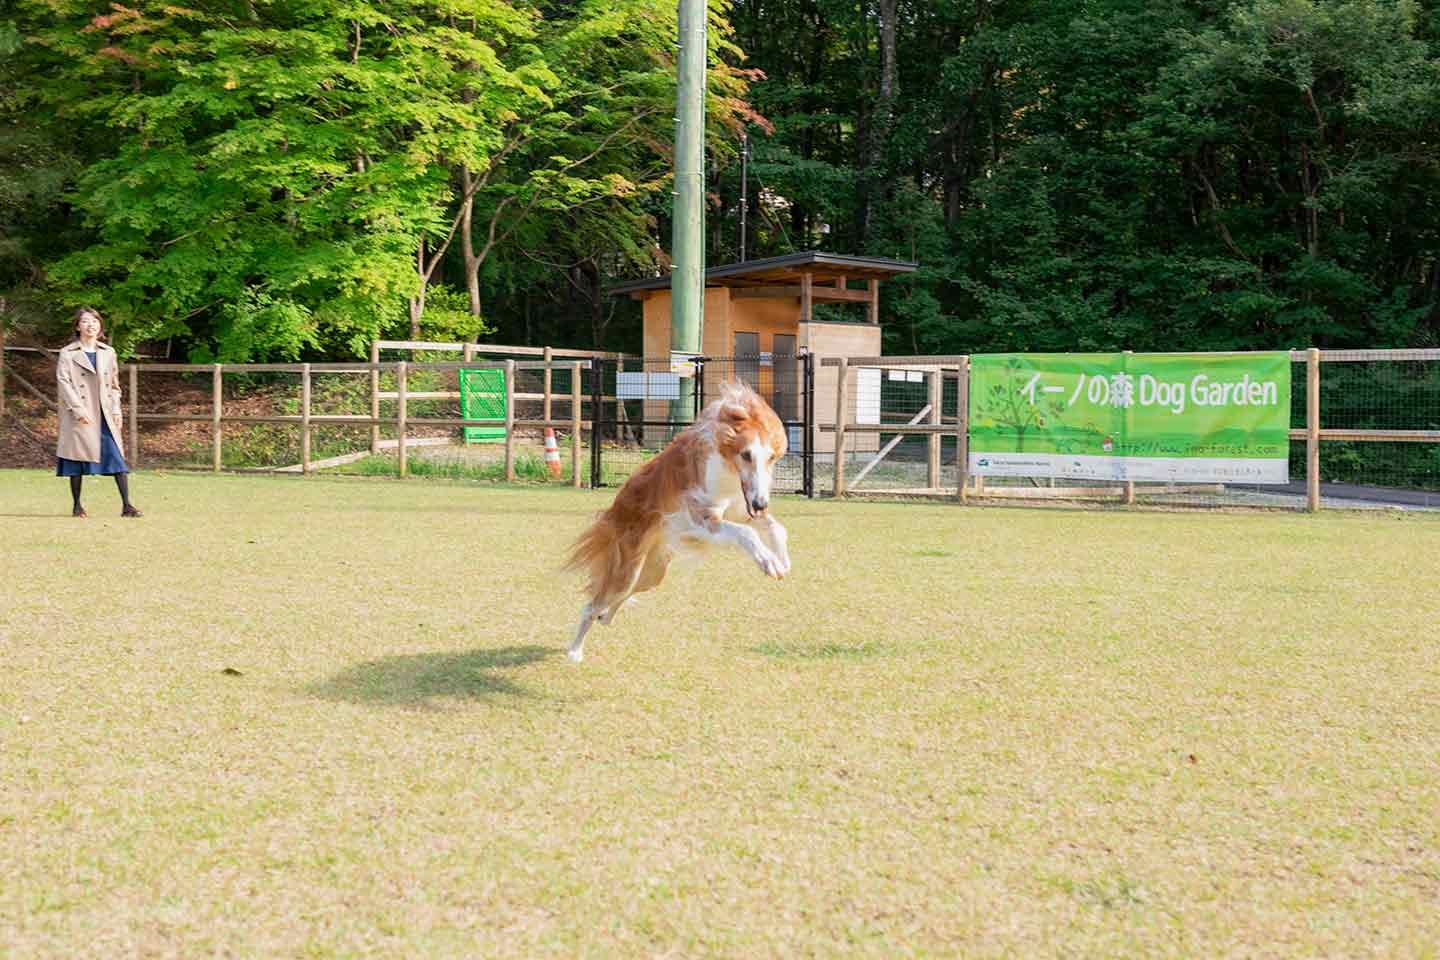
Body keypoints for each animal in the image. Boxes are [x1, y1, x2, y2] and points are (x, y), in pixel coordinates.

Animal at [564, 382, 794, 662]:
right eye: (746, 454)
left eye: (770, 457)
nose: (761, 504)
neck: (727, 467)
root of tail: (616, 507)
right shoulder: (702, 518)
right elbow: (746, 533)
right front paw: (768, 561)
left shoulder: (741, 508)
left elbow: (776, 528)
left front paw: (781, 560)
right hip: (627, 570)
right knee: (591, 605)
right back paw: (575, 651)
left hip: (653, 572)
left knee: (615, 601)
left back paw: (605, 618)